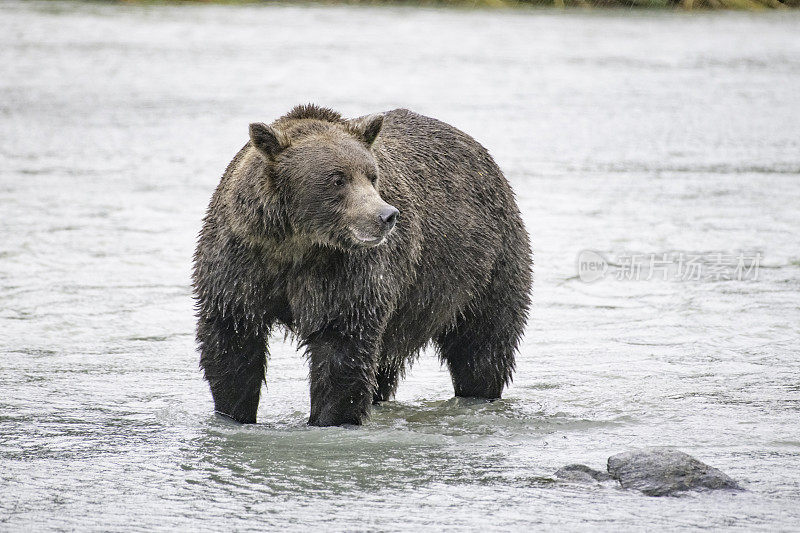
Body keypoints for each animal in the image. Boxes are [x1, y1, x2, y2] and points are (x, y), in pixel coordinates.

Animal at [193, 105, 532, 424]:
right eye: (337, 179)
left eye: (372, 175)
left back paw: (479, 393)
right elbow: (233, 341)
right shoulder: (241, 260)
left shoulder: (348, 273)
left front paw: (330, 418)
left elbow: (342, 347)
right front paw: (233, 412)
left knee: (482, 344)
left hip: (485, 267)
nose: (386, 216)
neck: (297, 244)